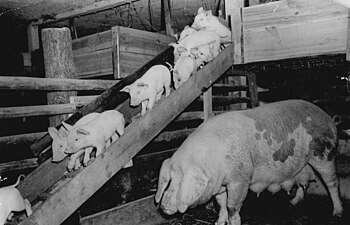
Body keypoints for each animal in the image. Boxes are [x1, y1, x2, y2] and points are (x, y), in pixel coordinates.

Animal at [156, 100, 342, 225]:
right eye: (169, 181)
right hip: (304, 165)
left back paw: (337, 213)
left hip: (324, 155)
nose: (163, 207)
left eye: (180, 181)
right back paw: (293, 203)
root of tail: (328, 117)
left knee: (332, 183)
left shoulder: (241, 179)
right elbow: (221, 205)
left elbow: (232, 207)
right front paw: (218, 223)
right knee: (304, 183)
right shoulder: (221, 185)